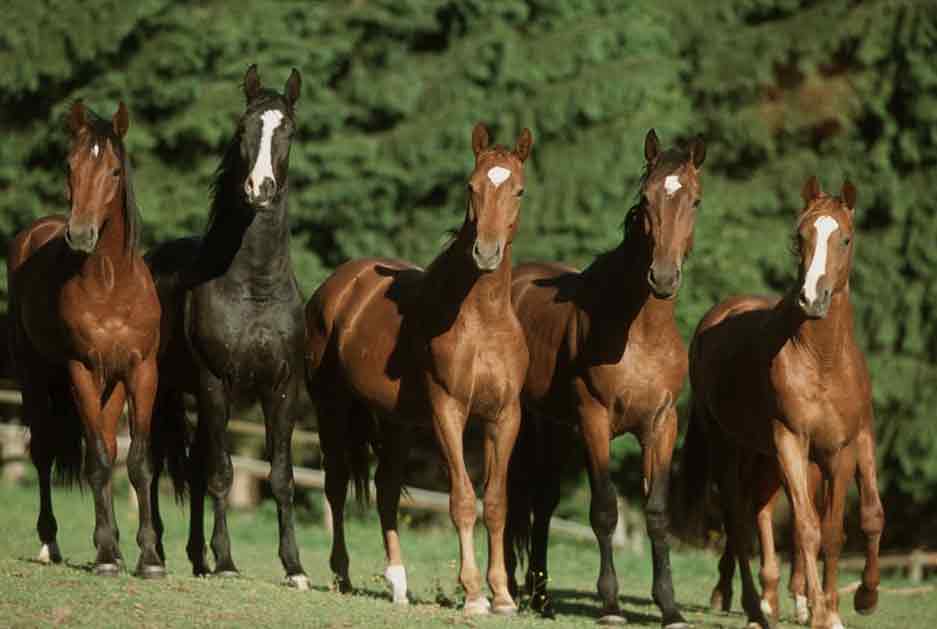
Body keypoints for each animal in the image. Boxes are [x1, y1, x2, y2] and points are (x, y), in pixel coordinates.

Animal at [6, 100, 183, 576]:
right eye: (70, 165)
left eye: (115, 170)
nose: (81, 234)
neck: (110, 283)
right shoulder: (81, 370)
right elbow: (100, 463)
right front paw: (105, 557)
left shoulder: (141, 372)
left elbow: (137, 462)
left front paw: (148, 558)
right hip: (35, 377)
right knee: (44, 452)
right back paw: (51, 543)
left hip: (113, 384)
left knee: (105, 439)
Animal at [146, 66, 308, 588]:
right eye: (243, 129)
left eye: (288, 129)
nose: (260, 188)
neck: (254, 287)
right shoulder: (215, 382)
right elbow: (222, 472)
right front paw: (228, 563)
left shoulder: (282, 387)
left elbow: (281, 478)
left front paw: (295, 568)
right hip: (157, 391)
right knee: (150, 466)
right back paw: (156, 553)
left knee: (192, 466)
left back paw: (196, 558)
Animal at [304, 121, 532, 612]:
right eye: (471, 186)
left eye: (518, 190)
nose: (486, 252)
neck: (481, 319)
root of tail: (336, 286)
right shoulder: (449, 411)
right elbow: (463, 499)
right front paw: (474, 595)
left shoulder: (503, 416)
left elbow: (496, 503)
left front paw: (503, 595)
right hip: (332, 408)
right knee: (335, 485)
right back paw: (341, 574)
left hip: (397, 423)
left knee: (387, 490)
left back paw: (398, 584)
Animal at [504, 127, 704, 624]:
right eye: (647, 198)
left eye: (694, 200)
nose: (663, 277)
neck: (640, 333)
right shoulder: (594, 421)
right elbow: (605, 511)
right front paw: (611, 604)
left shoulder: (661, 425)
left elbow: (656, 514)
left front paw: (670, 607)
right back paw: (512, 591)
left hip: (553, 426)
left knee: (543, 501)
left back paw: (542, 599)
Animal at [676, 178, 880, 628]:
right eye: (798, 237)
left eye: (845, 238)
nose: (812, 299)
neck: (822, 360)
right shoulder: (790, 440)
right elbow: (807, 528)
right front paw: (820, 612)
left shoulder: (839, 449)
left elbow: (834, 531)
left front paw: (837, 608)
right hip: (730, 447)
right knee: (740, 516)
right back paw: (752, 602)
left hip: (764, 455)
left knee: (759, 510)